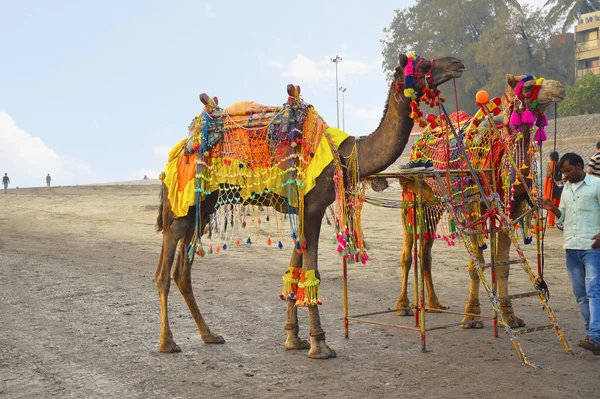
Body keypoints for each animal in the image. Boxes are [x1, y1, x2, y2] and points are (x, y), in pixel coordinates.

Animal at [154, 51, 464, 358]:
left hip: (202, 210)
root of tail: (175, 155)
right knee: (163, 272)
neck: (344, 153)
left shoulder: (304, 211)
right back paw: (167, 342)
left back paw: (209, 334)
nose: (457, 63)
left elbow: (294, 270)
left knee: (182, 271)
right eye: (423, 64)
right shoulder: (313, 207)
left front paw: (294, 338)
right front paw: (320, 344)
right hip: (180, 208)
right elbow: (311, 271)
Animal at [372, 73, 564, 330]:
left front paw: (509, 316)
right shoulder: (472, 208)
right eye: (530, 86)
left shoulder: (509, 211)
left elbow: (503, 266)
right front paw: (472, 316)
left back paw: (434, 303)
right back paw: (403, 306)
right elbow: (476, 265)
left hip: (436, 202)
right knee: (408, 251)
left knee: (426, 250)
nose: (559, 88)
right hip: (412, 194)